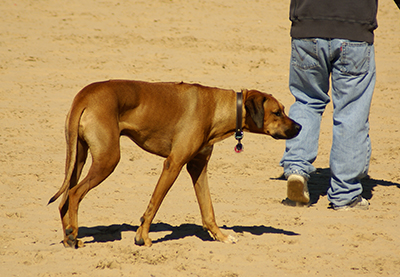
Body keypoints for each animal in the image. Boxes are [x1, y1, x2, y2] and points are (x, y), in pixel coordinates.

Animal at [48, 79, 300, 246]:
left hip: (78, 158)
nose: (299, 127)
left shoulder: (198, 167)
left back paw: (69, 238)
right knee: (74, 194)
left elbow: (208, 210)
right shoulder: (174, 164)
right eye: (277, 112)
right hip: (107, 159)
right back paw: (74, 234)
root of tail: (85, 94)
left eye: (283, 110)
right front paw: (143, 237)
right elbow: (154, 203)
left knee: (64, 200)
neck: (218, 108)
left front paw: (220, 236)